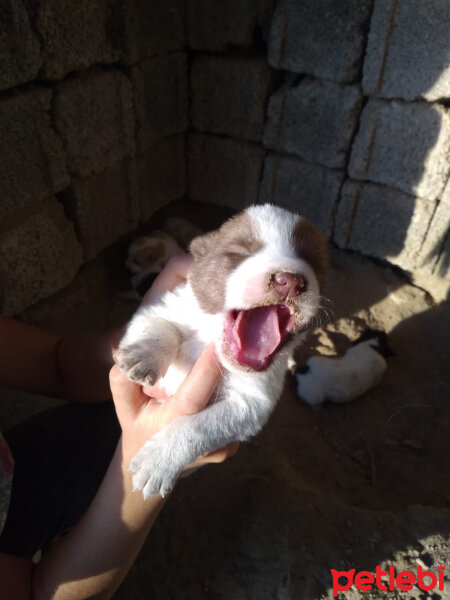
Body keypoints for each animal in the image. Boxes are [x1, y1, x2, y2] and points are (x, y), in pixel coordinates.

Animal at [114, 205, 328, 496]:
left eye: (314, 262)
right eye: (239, 253)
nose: (290, 280)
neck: (211, 338)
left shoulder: (251, 403)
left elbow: (196, 427)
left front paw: (157, 462)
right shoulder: (161, 306)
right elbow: (159, 326)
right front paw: (142, 357)